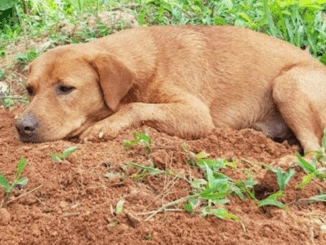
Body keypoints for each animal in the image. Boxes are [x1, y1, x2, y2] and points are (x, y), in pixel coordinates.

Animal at [14, 24, 326, 151]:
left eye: (65, 88)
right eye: (30, 89)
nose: (22, 127)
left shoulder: (198, 115)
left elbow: (134, 106)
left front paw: (105, 126)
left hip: (287, 83)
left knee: (315, 154)